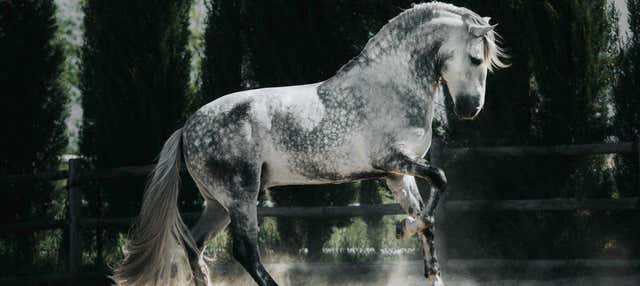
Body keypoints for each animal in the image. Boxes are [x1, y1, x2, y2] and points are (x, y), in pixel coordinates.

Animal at [114, 1, 504, 284]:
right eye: (474, 58)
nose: (470, 109)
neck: (391, 86)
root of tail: (187, 128)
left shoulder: (398, 174)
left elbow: (428, 219)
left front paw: (421, 252)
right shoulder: (393, 160)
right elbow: (440, 179)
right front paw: (403, 227)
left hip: (218, 203)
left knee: (194, 244)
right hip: (240, 197)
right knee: (244, 251)